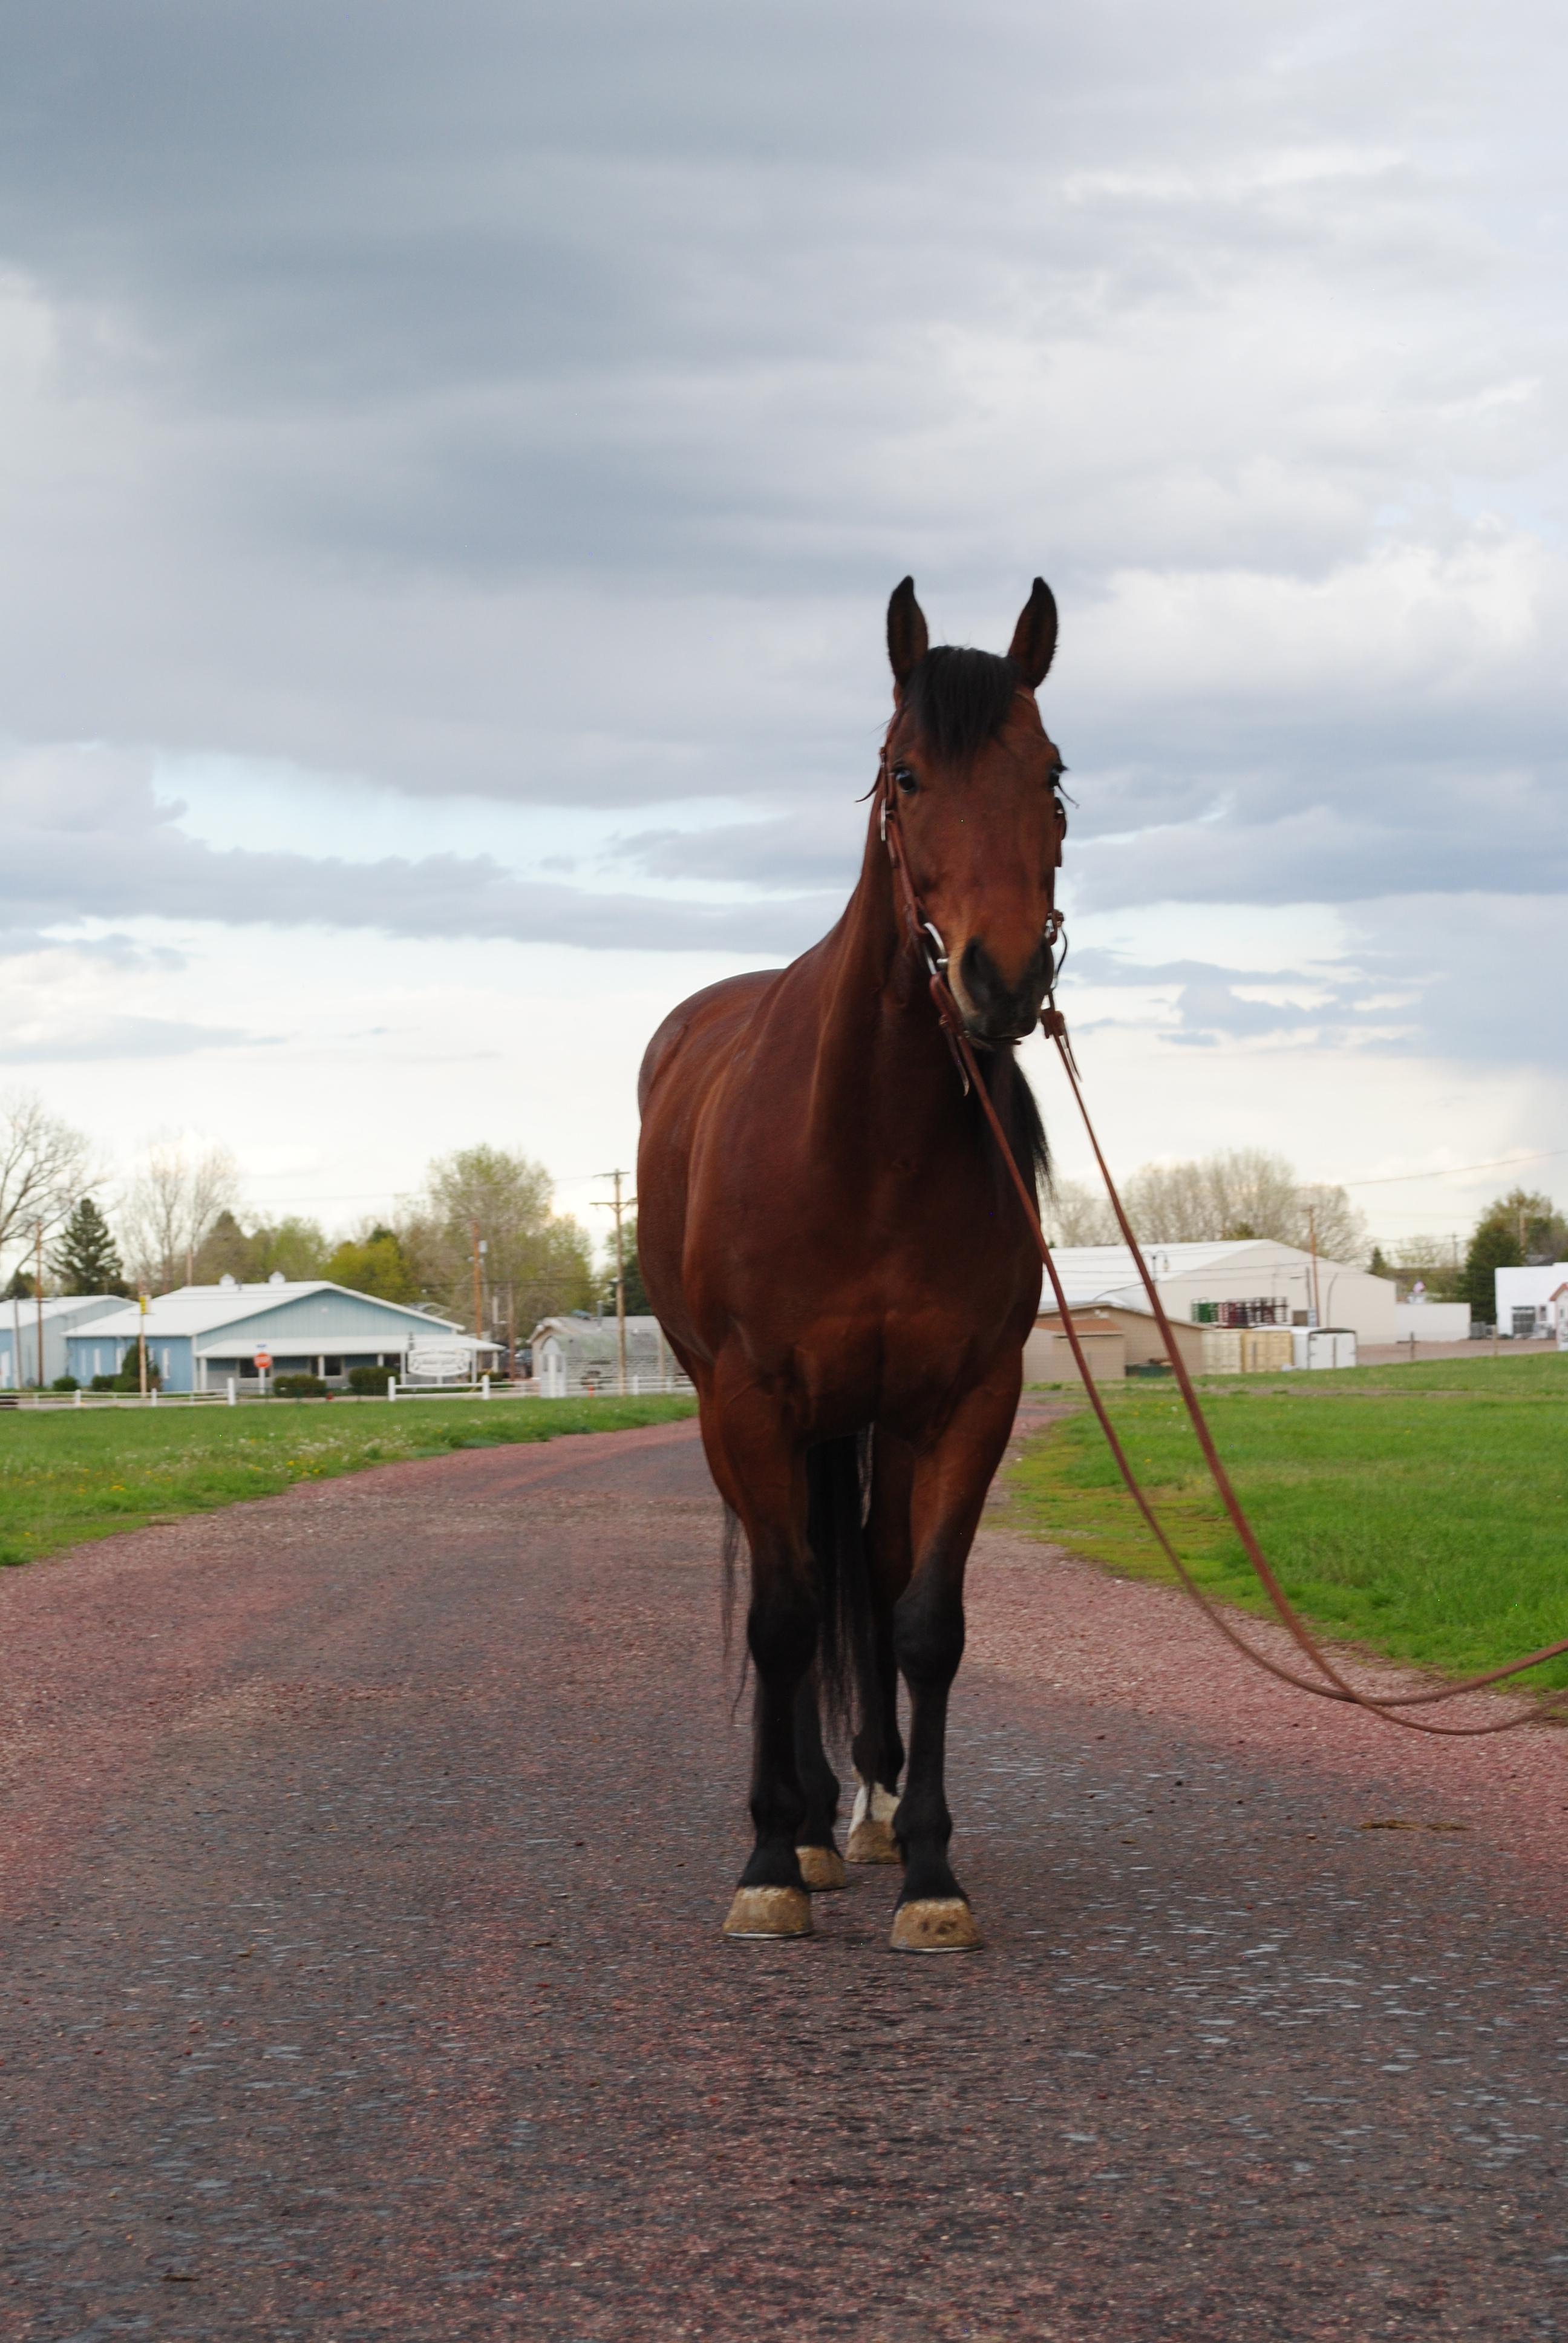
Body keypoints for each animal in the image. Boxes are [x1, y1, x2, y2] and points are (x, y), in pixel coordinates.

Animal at [637, 581, 1063, 1958]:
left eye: (1051, 772)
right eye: (906, 772)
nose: (1001, 977)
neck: (869, 1139)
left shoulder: (968, 1397)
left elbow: (925, 1619)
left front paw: (930, 1867)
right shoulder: (755, 1400)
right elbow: (780, 1620)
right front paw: (773, 1858)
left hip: (873, 1416)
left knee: (868, 1574)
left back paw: (865, 1808)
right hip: (757, 1419)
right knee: (796, 1591)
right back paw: (808, 1821)